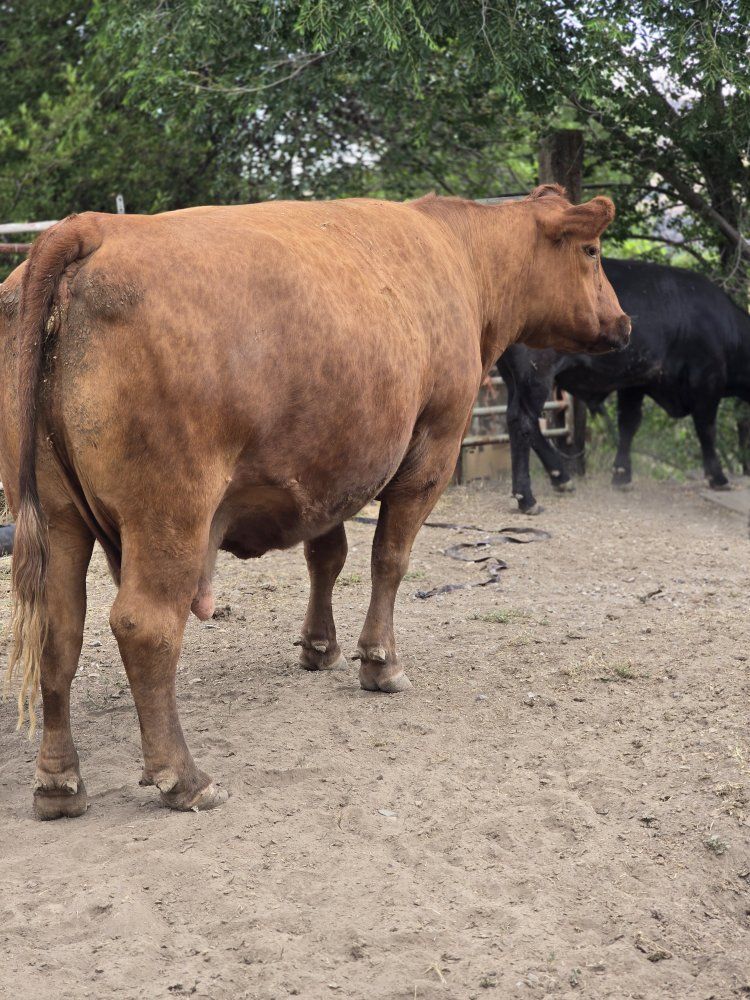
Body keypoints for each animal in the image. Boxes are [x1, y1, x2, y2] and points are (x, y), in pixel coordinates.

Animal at [0, 185, 629, 819]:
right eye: (593, 251)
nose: (623, 323)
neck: (458, 251)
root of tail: (93, 228)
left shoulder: (329, 464)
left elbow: (326, 556)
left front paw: (319, 646)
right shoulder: (434, 445)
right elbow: (389, 559)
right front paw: (379, 662)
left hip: (58, 517)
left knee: (59, 632)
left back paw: (59, 782)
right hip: (169, 513)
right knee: (144, 627)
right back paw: (184, 778)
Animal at [499, 258, 750, 513]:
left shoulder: (635, 381)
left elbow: (628, 424)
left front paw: (621, 476)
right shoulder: (707, 380)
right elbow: (707, 430)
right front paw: (718, 477)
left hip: (513, 378)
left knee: (519, 420)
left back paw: (561, 478)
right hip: (536, 373)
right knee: (524, 421)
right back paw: (527, 498)